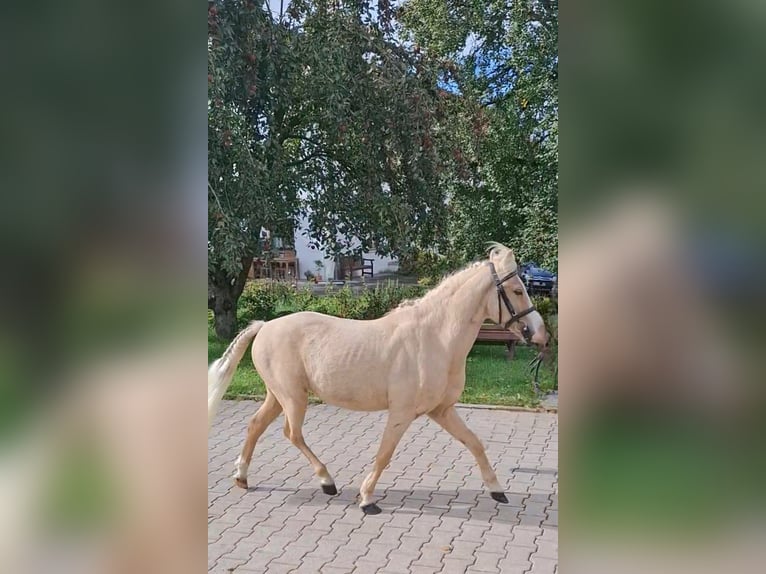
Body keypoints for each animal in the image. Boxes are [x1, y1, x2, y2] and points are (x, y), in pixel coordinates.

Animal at [207, 245, 548, 516]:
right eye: (517, 291)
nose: (541, 334)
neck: (434, 338)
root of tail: (264, 326)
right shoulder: (401, 413)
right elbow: (385, 454)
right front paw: (367, 499)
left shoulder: (442, 411)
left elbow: (474, 443)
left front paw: (498, 490)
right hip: (293, 396)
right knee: (292, 433)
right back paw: (326, 481)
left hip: (277, 395)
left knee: (256, 425)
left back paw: (242, 477)